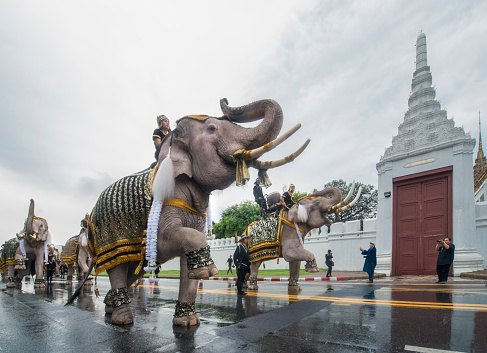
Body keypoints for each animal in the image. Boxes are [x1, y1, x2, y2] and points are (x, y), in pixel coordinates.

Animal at [68, 97, 308, 326]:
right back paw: (123, 319)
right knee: (118, 269)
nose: (224, 99)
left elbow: (188, 256)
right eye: (211, 128)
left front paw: (188, 322)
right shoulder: (166, 202)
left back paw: (110, 308)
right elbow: (174, 240)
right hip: (110, 236)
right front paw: (207, 272)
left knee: (131, 270)